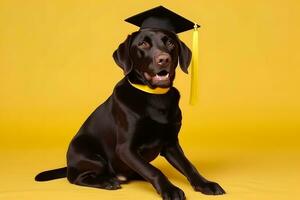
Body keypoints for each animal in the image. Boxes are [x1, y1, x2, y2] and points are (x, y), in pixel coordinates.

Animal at [35, 28, 224, 200]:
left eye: (170, 43)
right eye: (143, 44)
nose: (164, 59)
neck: (156, 97)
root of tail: (69, 164)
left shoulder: (171, 145)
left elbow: (189, 167)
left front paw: (206, 184)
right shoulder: (126, 149)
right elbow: (155, 171)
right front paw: (170, 190)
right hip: (90, 155)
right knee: (76, 178)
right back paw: (107, 181)